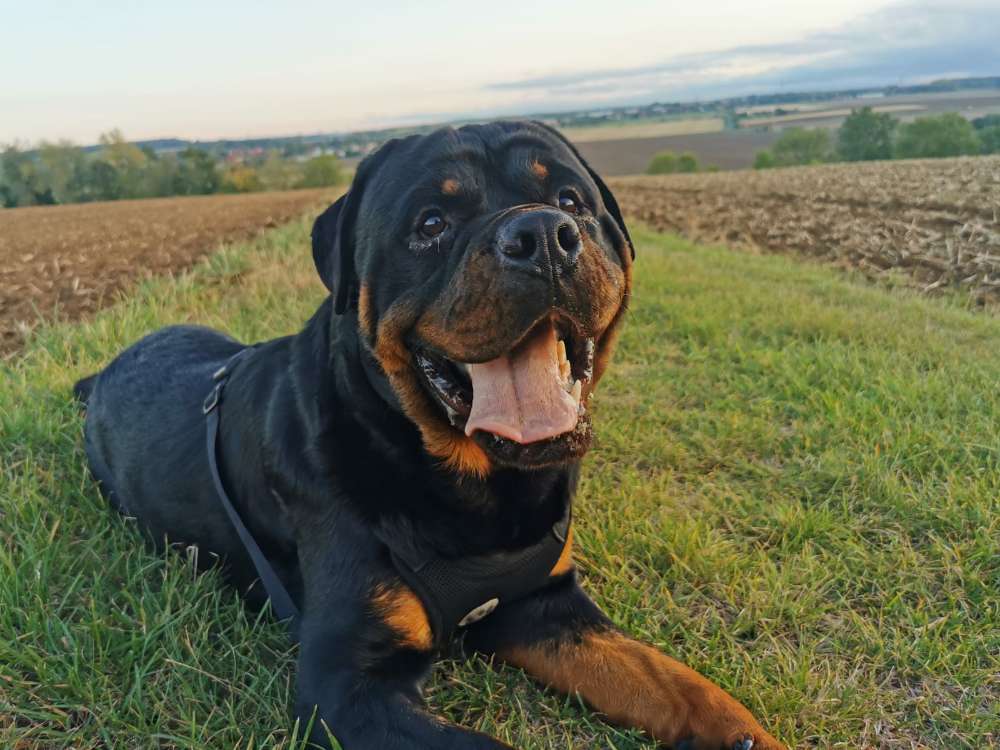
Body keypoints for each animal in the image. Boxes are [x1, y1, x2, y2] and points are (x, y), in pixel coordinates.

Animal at [74, 120, 784, 748]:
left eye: (569, 200)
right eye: (432, 224)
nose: (543, 235)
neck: (474, 488)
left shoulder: (547, 604)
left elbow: (686, 689)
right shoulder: (350, 684)